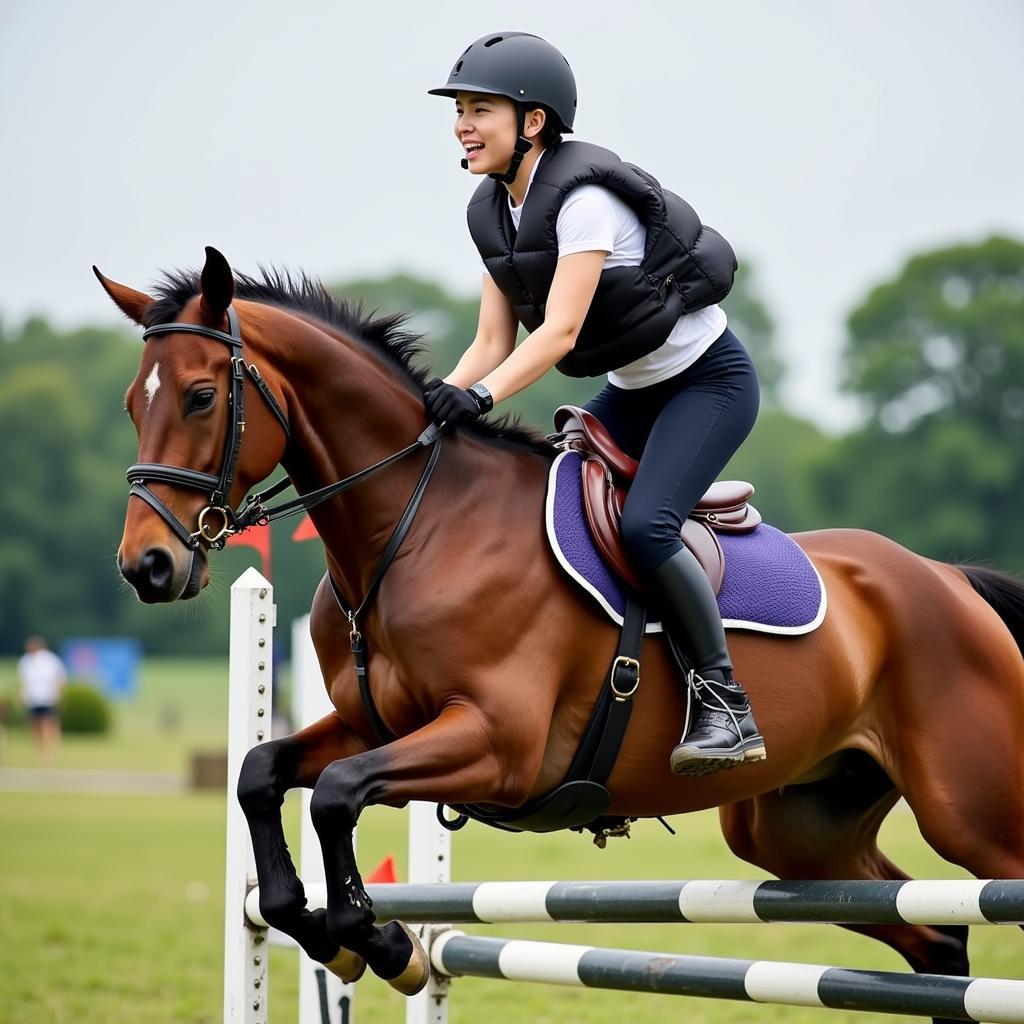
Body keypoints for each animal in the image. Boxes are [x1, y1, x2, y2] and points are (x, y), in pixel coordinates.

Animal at [97, 245, 1024, 1015]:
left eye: (202, 396)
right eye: (132, 402)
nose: (147, 567)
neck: (414, 527)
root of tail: (947, 579)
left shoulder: (496, 745)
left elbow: (334, 793)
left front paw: (382, 941)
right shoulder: (376, 724)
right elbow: (262, 775)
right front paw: (344, 934)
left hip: (973, 816)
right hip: (801, 831)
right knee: (940, 936)